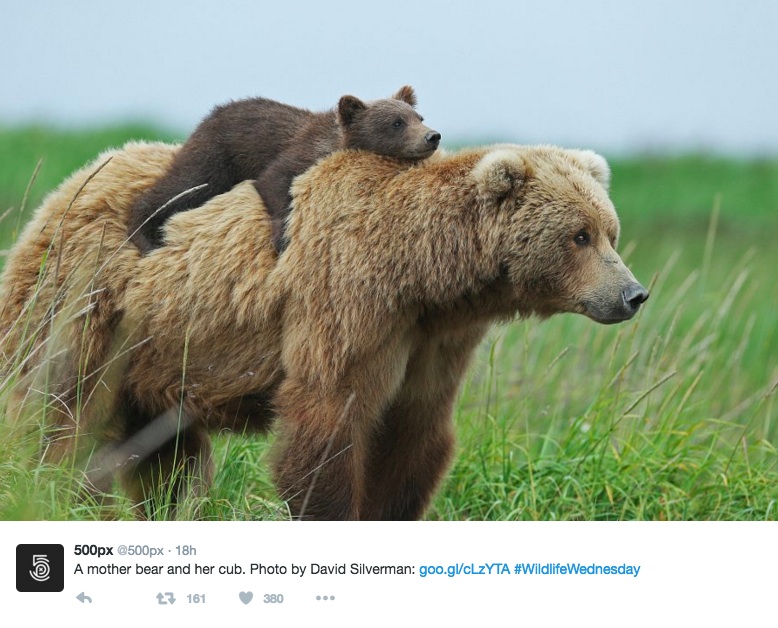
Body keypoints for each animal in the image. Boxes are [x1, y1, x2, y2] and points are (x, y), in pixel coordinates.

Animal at [0, 141, 648, 520]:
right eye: (580, 235)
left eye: (609, 230)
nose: (632, 294)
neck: (423, 275)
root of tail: (73, 181)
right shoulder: (347, 301)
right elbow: (328, 420)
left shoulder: (432, 340)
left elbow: (414, 434)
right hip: (85, 302)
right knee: (57, 413)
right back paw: (51, 495)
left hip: (156, 353)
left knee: (164, 452)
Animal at [127, 86, 440, 254]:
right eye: (397, 122)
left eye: (419, 116)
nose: (432, 136)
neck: (334, 142)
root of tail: (209, 115)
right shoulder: (298, 153)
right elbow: (274, 180)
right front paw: (282, 238)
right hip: (216, 154)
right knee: (184, 186)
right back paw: (144, 235)